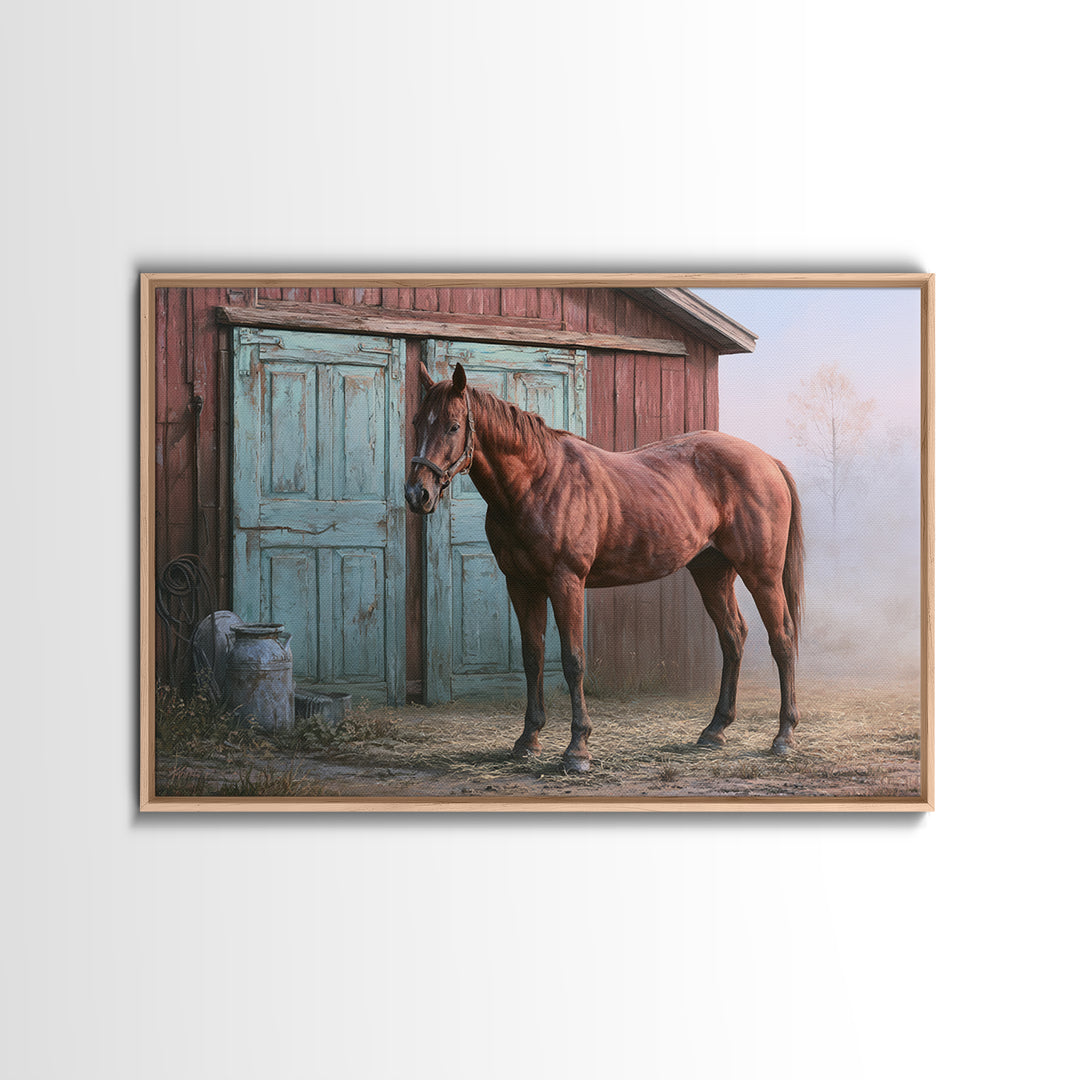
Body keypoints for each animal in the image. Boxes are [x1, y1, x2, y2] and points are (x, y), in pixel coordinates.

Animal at [405, 362, 805, 774]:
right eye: (418, 421)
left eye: (453, 426)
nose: (418, 494)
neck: (537, 483)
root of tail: (768, 461)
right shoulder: (521, 584)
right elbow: (532, 658)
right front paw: (528, 739)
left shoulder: (566, 582)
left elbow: (573, 660)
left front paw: (578, 748)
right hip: (712, 571)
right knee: (733, 637)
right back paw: (715, 729)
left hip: (762, 574)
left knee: (782, 639)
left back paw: (784, 735)